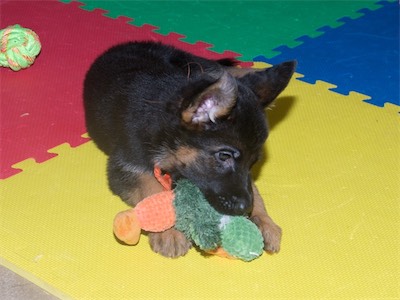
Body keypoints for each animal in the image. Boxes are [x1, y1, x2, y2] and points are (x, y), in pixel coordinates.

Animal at [83, 41, 296, 258]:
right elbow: (152, 188)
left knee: (221, 68)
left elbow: (253, 188)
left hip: (196, 66)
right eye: (224, 156)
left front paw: (264, 220)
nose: (245, 209)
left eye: (253, 163)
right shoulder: (126, 166)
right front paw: (169, 231)